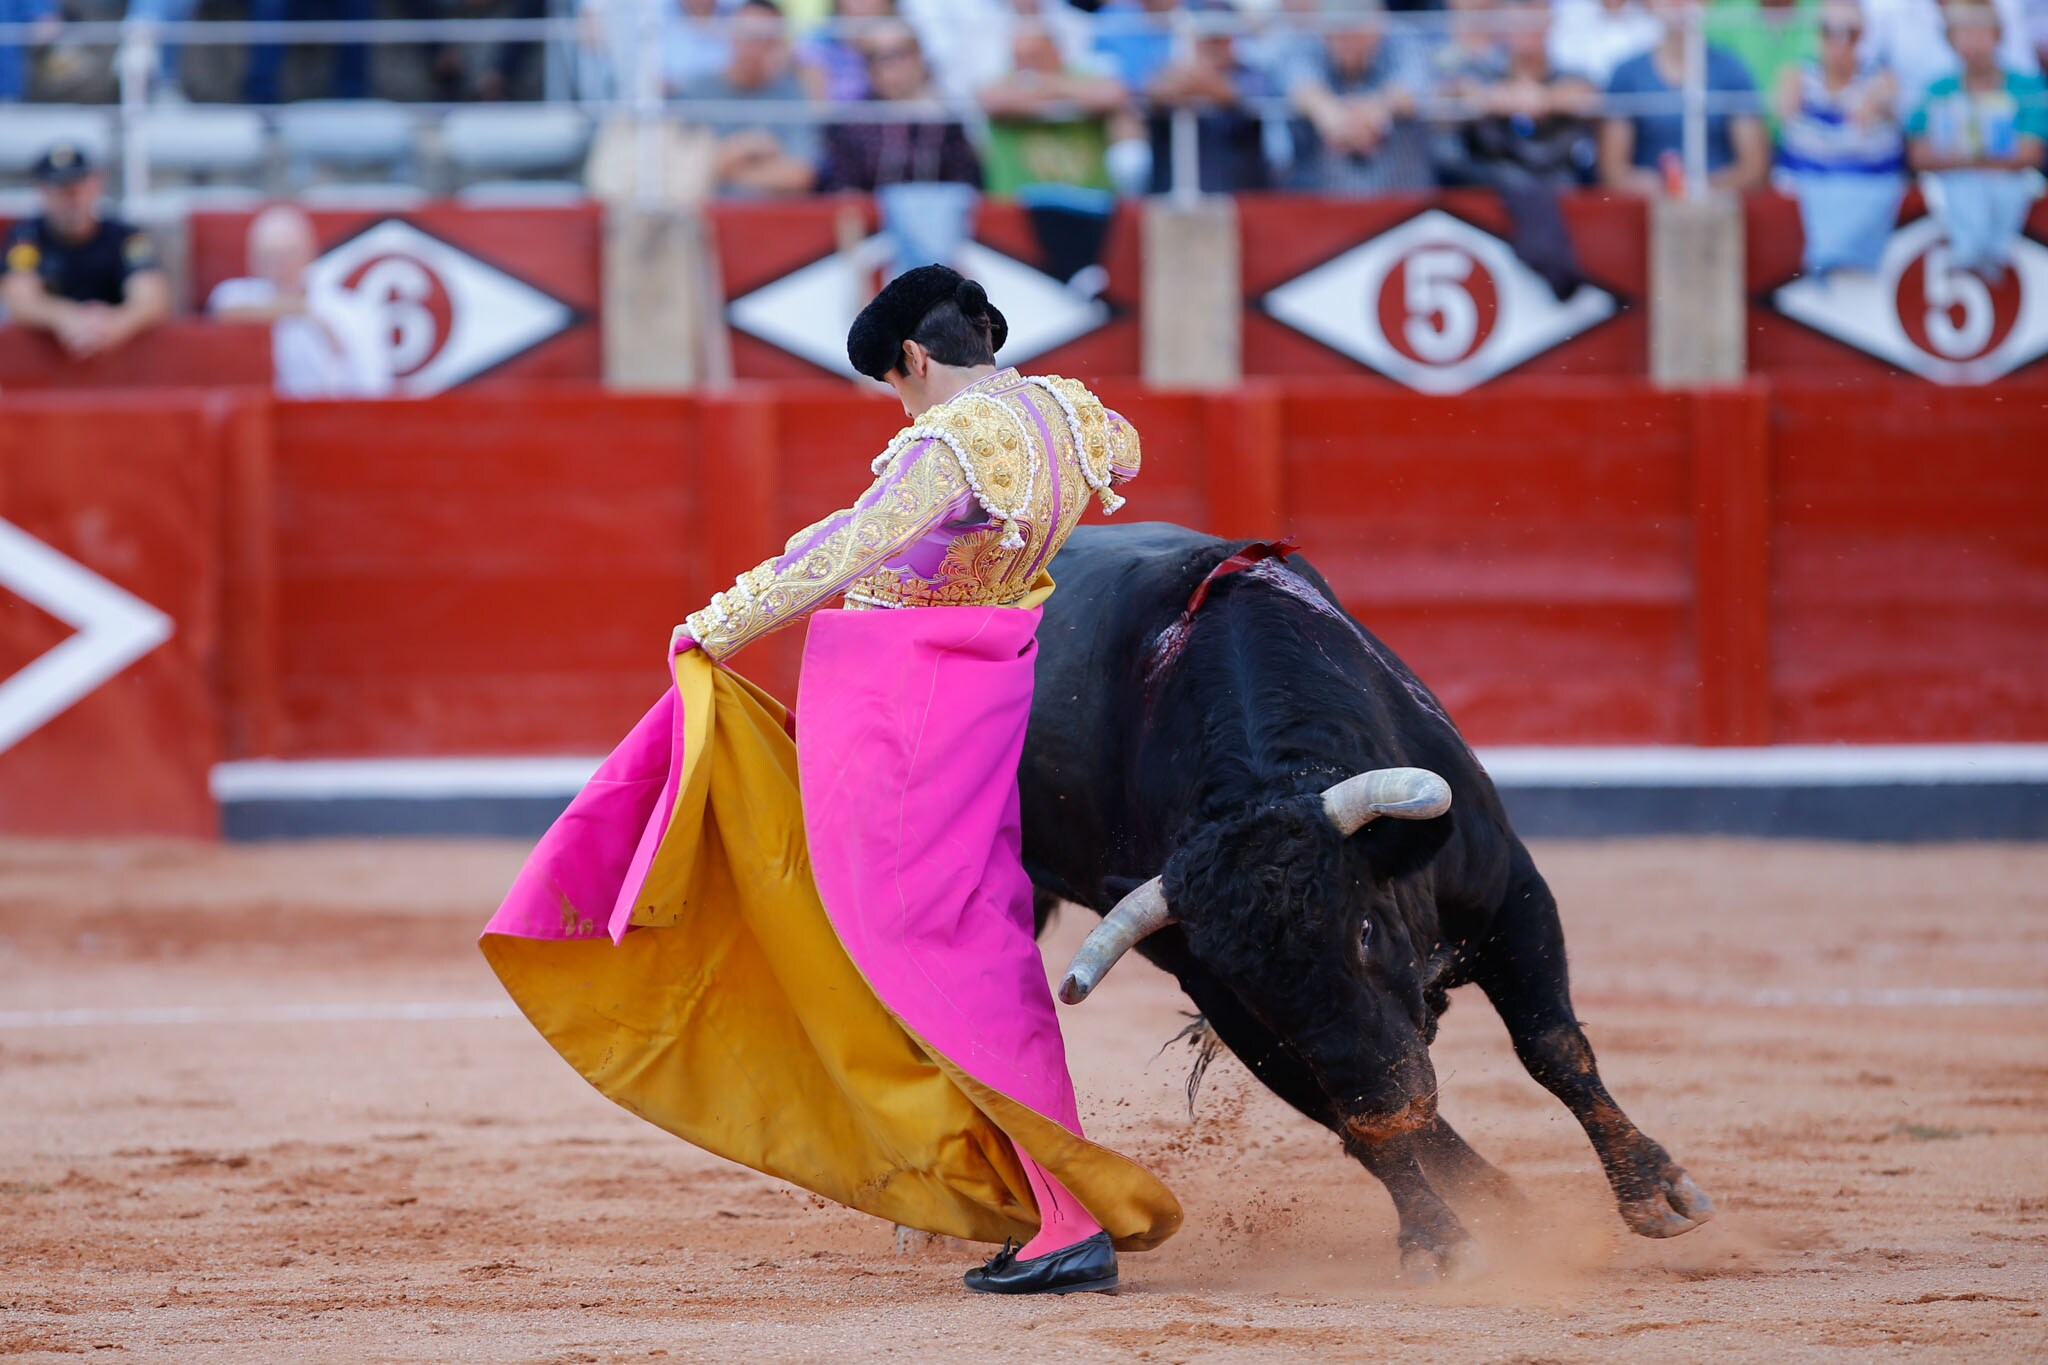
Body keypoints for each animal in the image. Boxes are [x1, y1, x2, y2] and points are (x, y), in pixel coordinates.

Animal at [1019, 527, 1712, 1285]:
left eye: (1365, 929)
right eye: (1250, 984)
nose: (1386, 1100)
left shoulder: (1514, 896)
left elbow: (1553, 1046)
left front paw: (1653, 1190)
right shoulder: (1236, 1011)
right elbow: (1357, 1125)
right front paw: (1436, 1239)